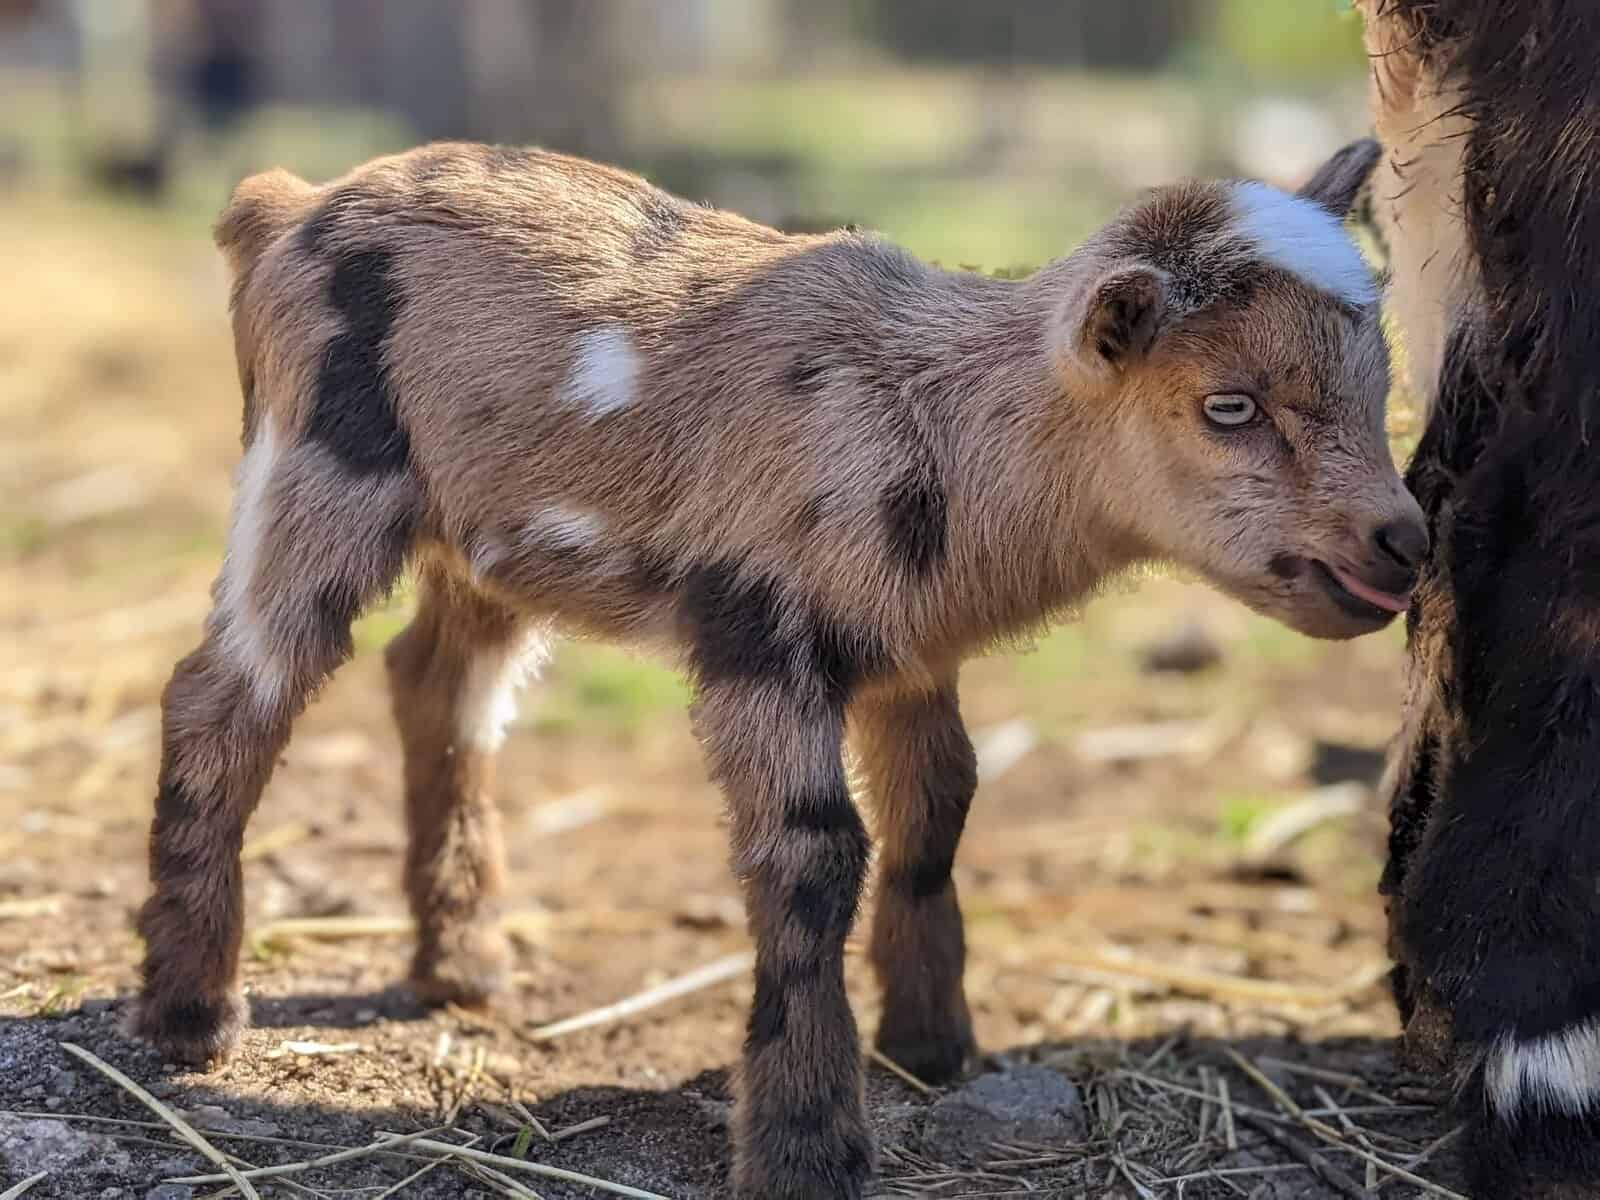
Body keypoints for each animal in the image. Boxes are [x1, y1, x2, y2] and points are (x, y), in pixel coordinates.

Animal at [131, 139, 1420, 1199]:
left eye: (1378, 384)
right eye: (1228, 406)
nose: (1402, 541)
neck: (945, 430)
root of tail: (285, 204)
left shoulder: (908, 651)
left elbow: (937, 813)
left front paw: (934, 1046)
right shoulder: (758, 633)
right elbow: (812, 856)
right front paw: (807, 1146)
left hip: (482, 536)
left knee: (438, 687)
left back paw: (464, 967)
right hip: (320, 461)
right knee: (224, 693)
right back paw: (191, 1017)